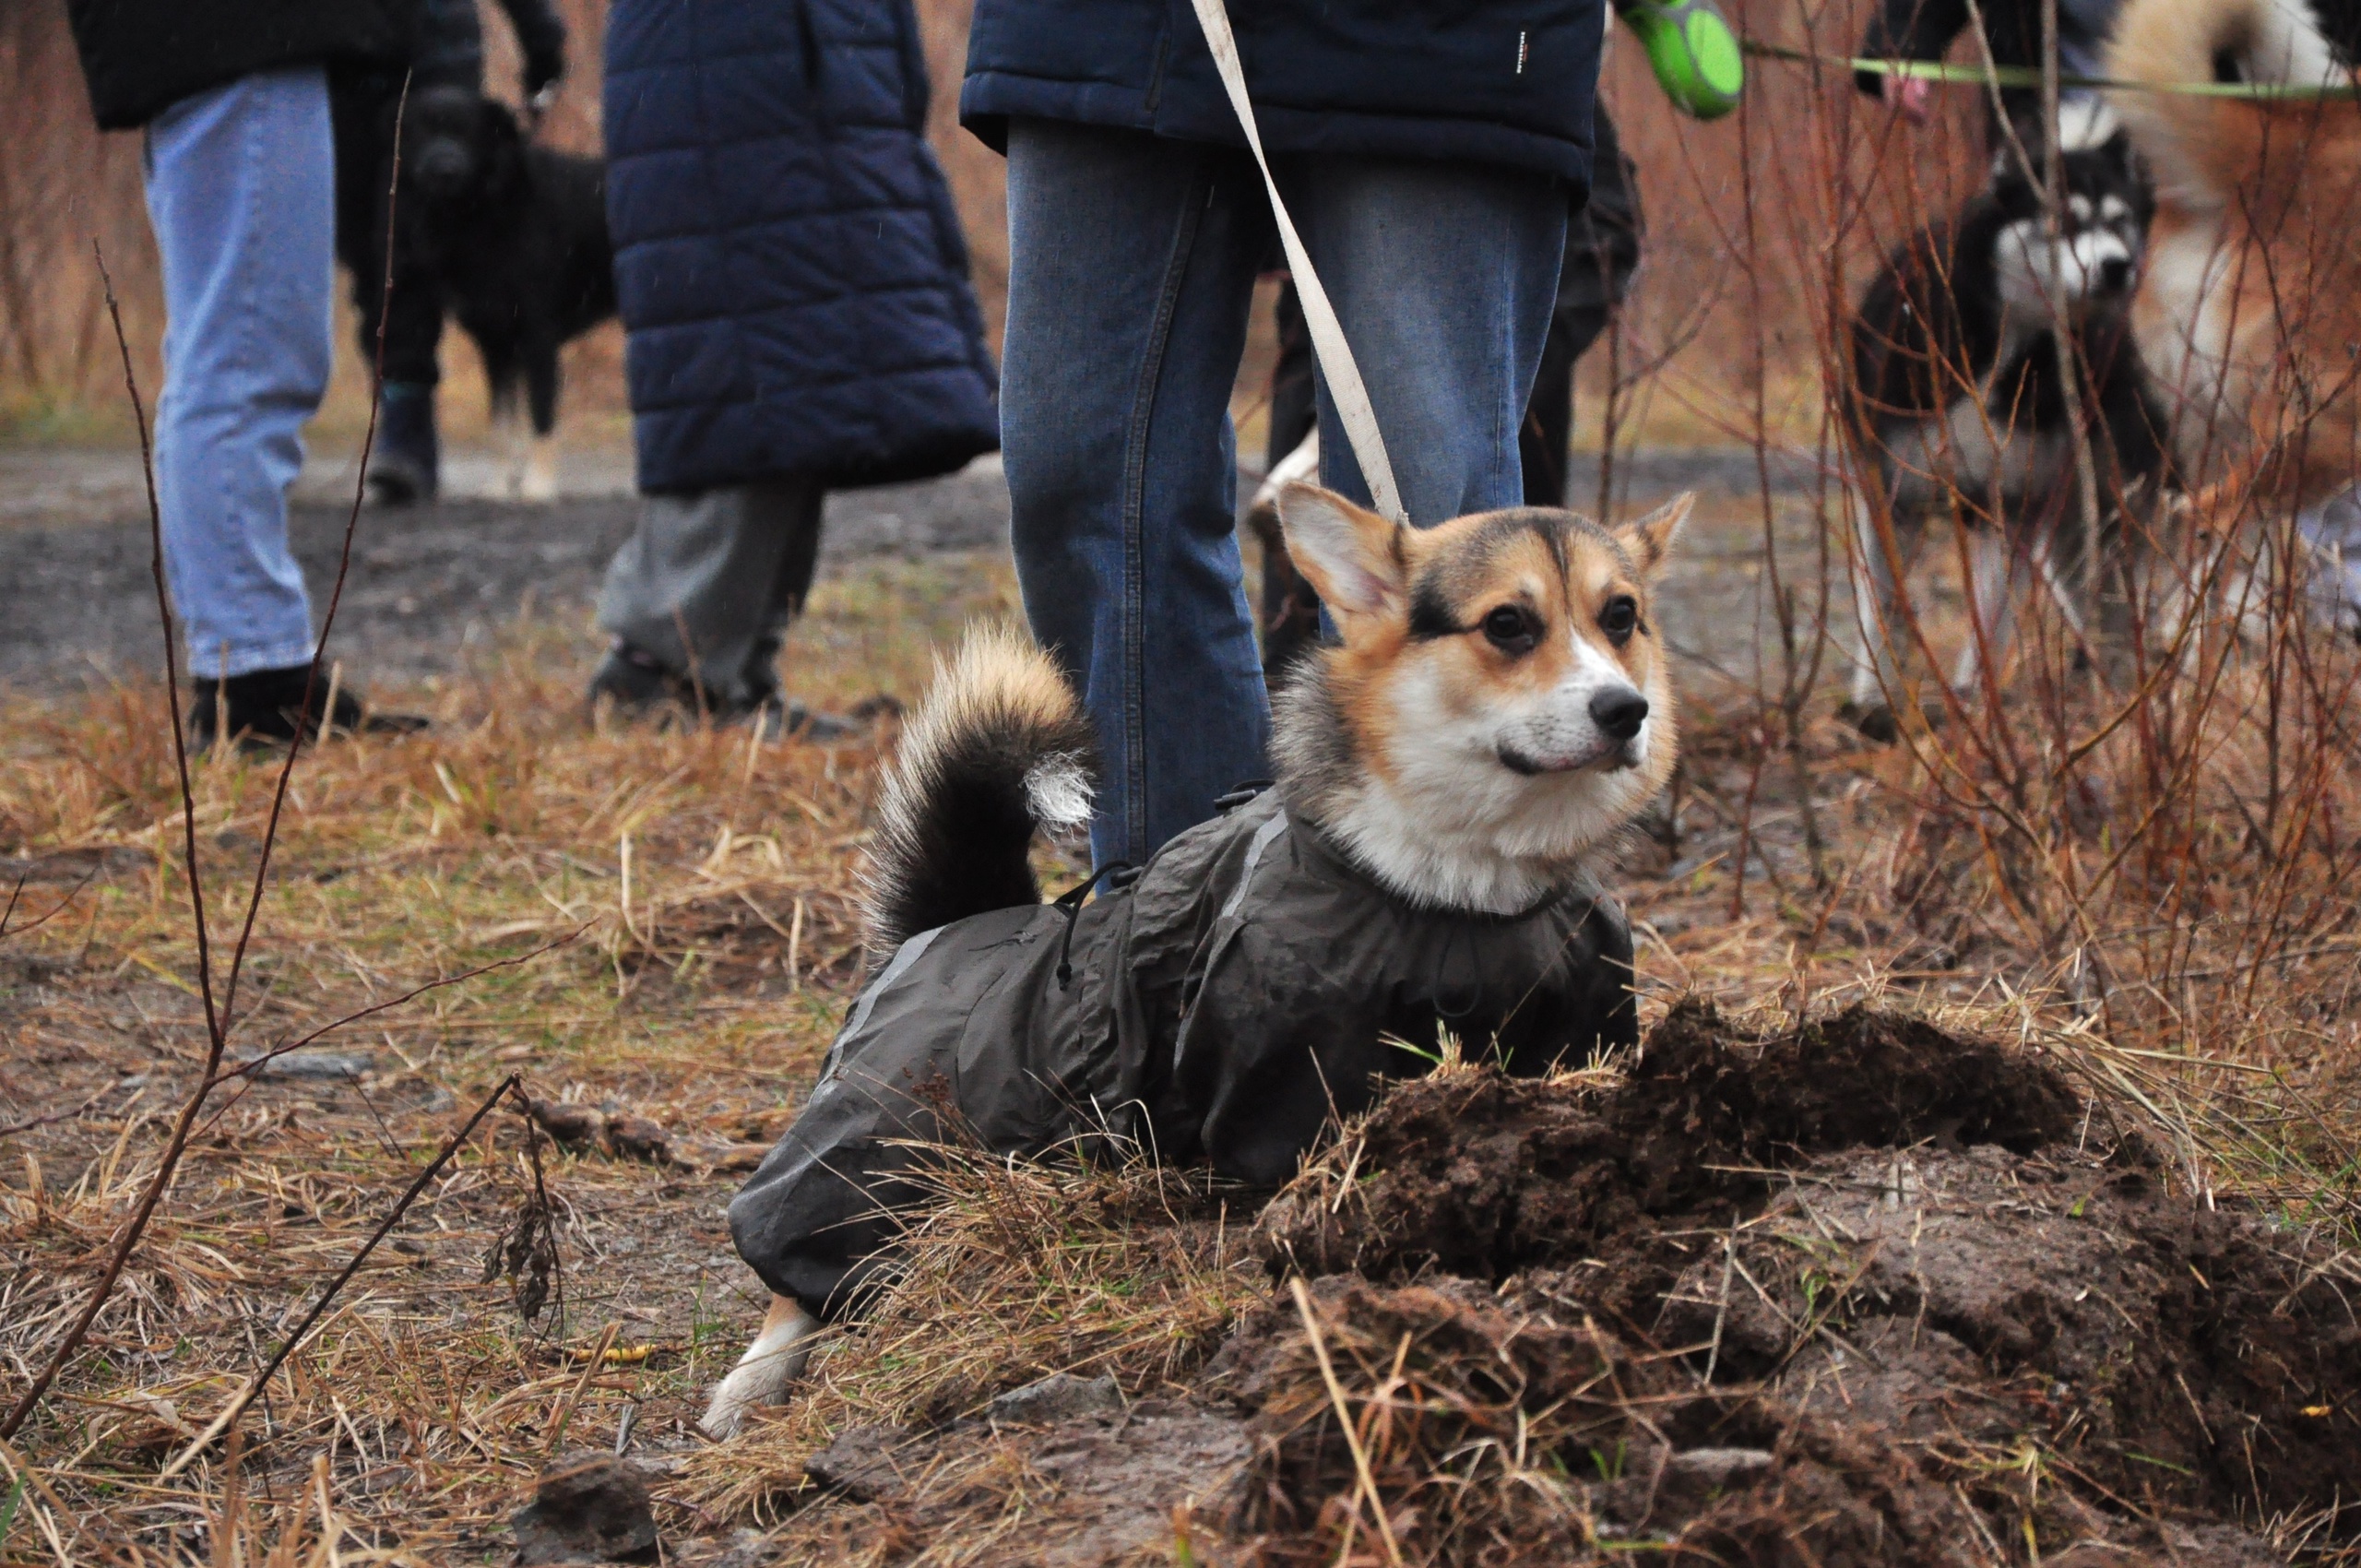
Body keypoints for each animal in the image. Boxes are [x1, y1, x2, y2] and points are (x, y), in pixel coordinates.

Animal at [391, 87, 609, 503]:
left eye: (468, 133)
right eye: (422, 131)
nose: (444, 169)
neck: (482, 211)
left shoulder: (539, 336)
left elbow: (541, 414)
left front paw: (539, 486)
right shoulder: (495, 343)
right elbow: (502, 423)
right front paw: (500, 485)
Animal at [689, 483, 1690, 1435]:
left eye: (1622, 617)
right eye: (1508, 624)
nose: (1625, 710)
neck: (1462, 894)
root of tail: (952, 920)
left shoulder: (1568, 1034)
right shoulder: (1281, 1094)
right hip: (881, 1138)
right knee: (798, 1269)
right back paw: (749, 1387)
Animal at [1841, 105, 2172, 741]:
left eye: (2120, 223)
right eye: (2064, 219)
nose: (2117, 267)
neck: (2010, 336)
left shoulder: (2010, 505)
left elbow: (1989, 625)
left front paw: (1976, 703)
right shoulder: (1890, 489)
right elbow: (1887, 607)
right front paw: (1875, 699)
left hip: (2088, 513)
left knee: (2106, 605)